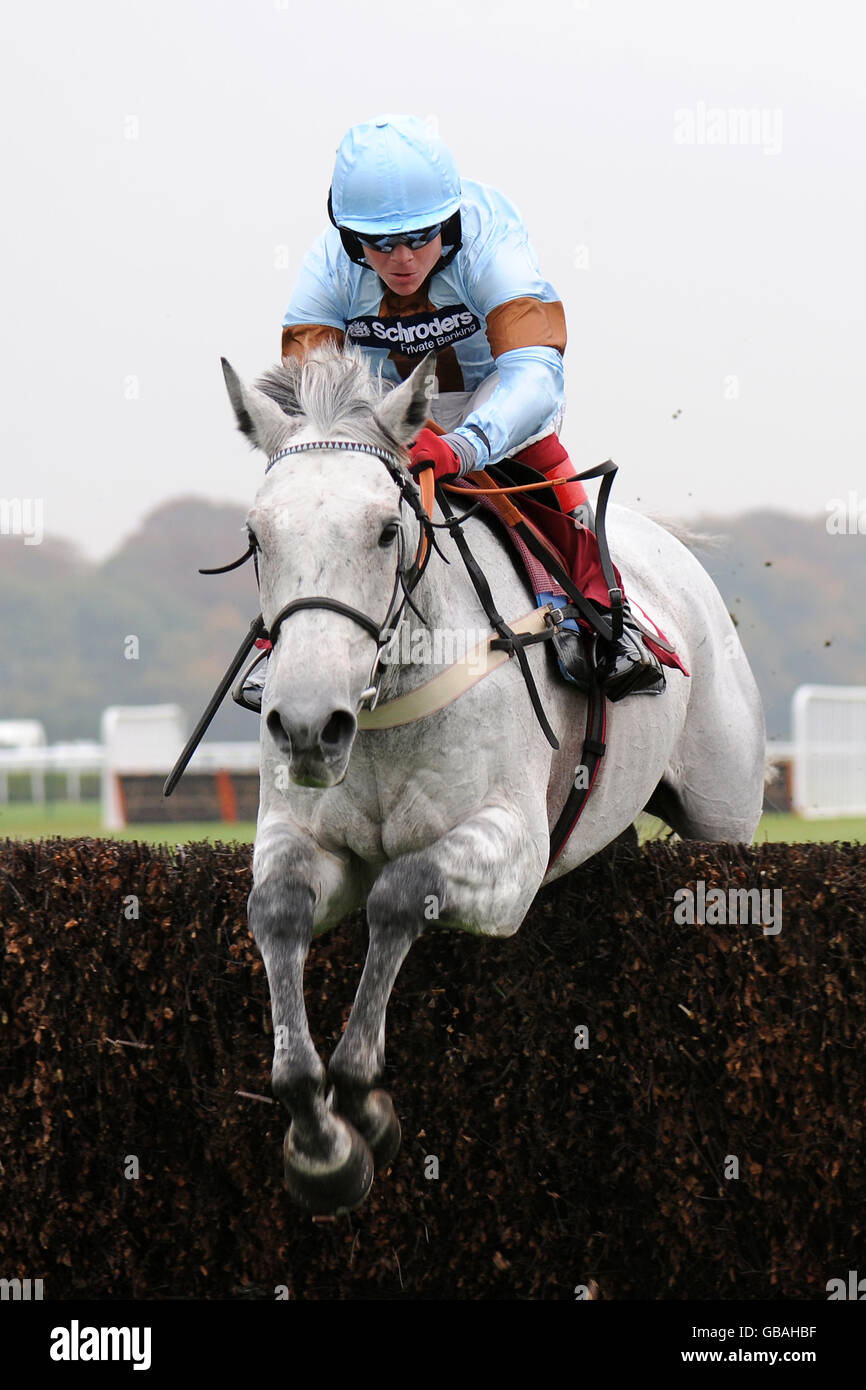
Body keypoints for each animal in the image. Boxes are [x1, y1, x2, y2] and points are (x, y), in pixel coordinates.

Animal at [218, 341, 767, 1212]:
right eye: (257, 535)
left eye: (385, 531)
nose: (306, 725)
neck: (386, 704)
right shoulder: (302, 834)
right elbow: (277, 911)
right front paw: (317, 1135)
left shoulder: (511, 858)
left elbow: (400, 892)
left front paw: (363, 1100)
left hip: (725, 819)